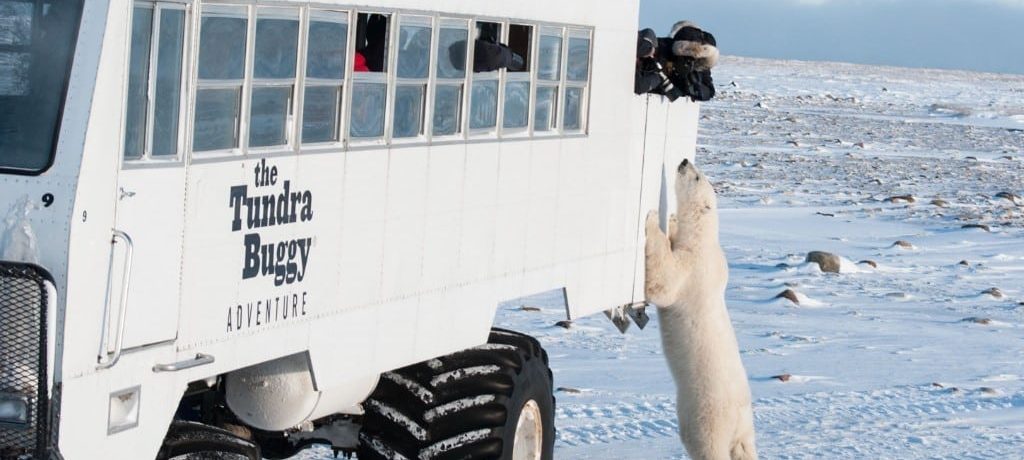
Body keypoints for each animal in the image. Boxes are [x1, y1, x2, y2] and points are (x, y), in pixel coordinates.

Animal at [643, 158, 757, 458]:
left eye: (696, 177)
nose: (684, 161)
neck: (704, 238)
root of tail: (738, 418)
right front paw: (671, 222)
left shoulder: (693, 267)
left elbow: (665, 282)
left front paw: (652, 221)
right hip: (744, 425)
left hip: (705, 413)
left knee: (707, 444)